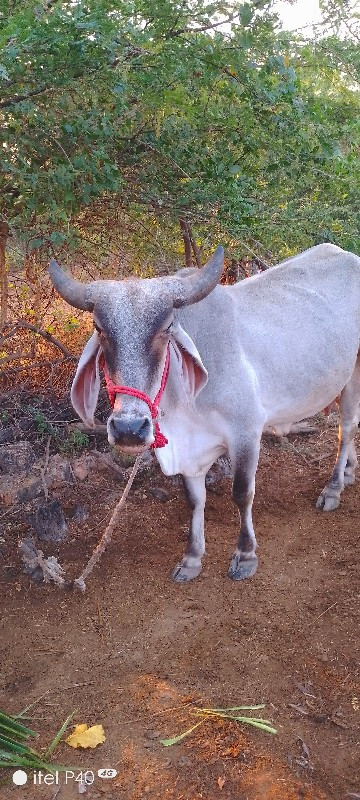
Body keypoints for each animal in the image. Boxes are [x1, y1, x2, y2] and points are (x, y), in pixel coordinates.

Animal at [50, 244, 360, 580]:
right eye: (100, 329)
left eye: (167, 328)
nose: (128, 429)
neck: (181, 406)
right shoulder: (190, 450)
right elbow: (195, 500)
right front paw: (192, 558)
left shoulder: (246, 432)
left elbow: (242, 493)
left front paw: (245, 554)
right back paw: (349, 471)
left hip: (354, 374)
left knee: (346, 429)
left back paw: (333, 488)